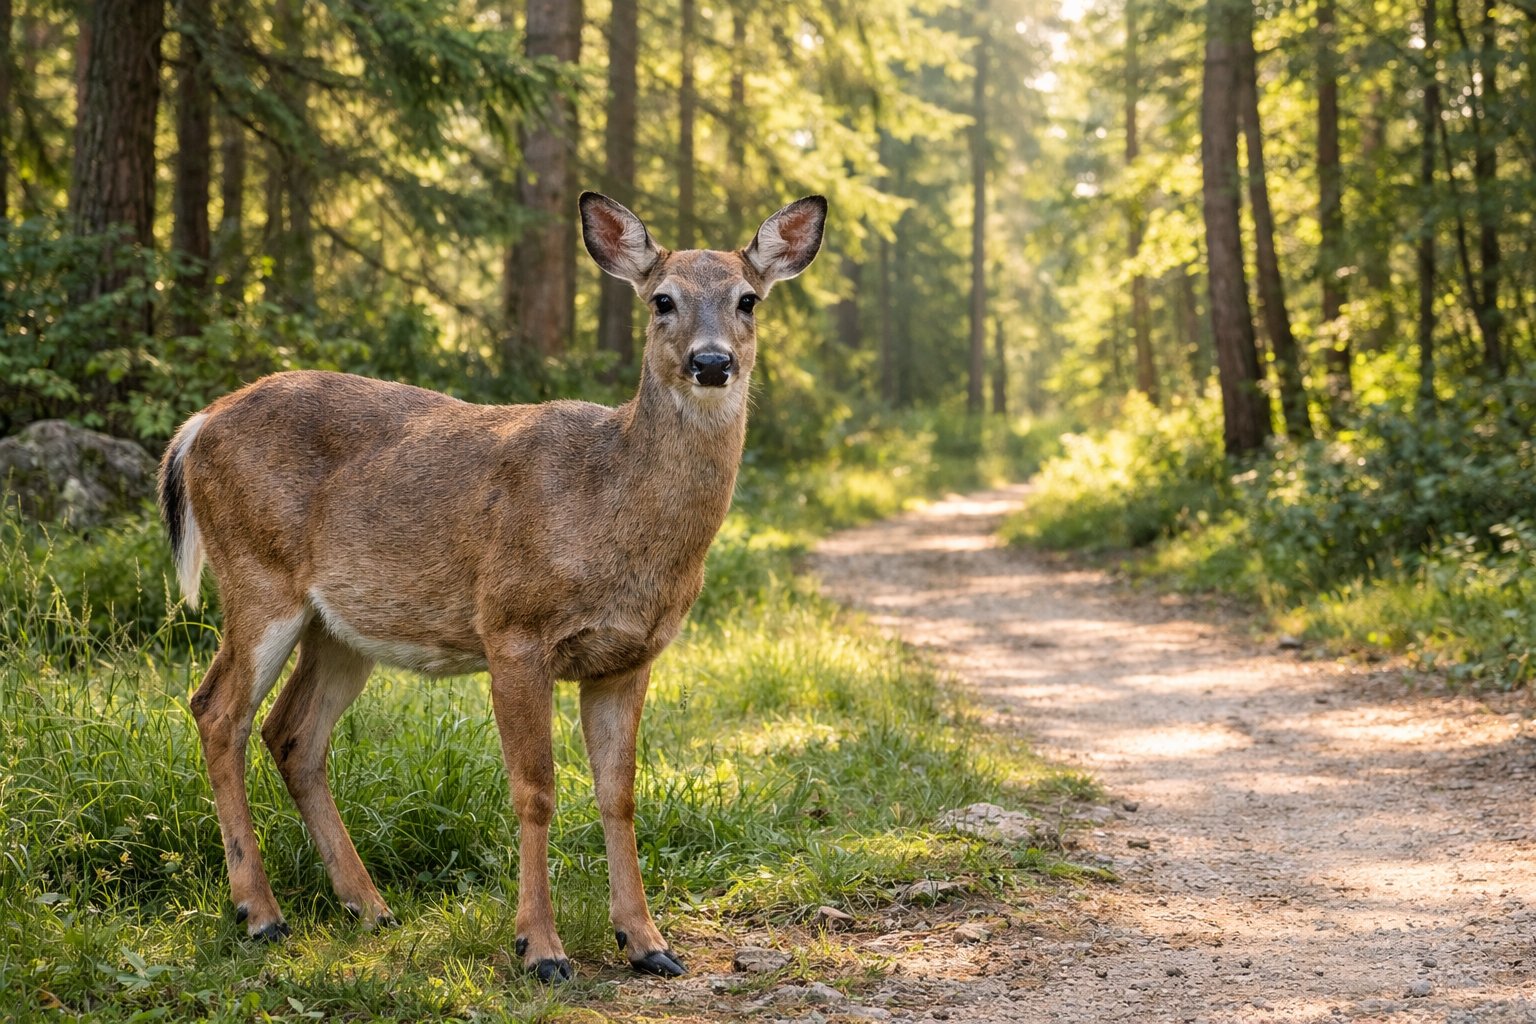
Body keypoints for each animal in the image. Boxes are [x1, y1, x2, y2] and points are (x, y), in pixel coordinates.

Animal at [156, 192, 827, 981]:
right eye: (662, 299)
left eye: (748, 299)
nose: (712, 361)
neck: (614, 510)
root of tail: (195, 426)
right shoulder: (512, 628)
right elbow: (535, 791)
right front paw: (540, 948)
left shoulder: (629, 656)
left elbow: (619, 793)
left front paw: (647, 942)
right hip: (258, 575)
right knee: (217, 710)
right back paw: (260, 914)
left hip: (343, 624)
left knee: (290, 732)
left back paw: (369, 906)